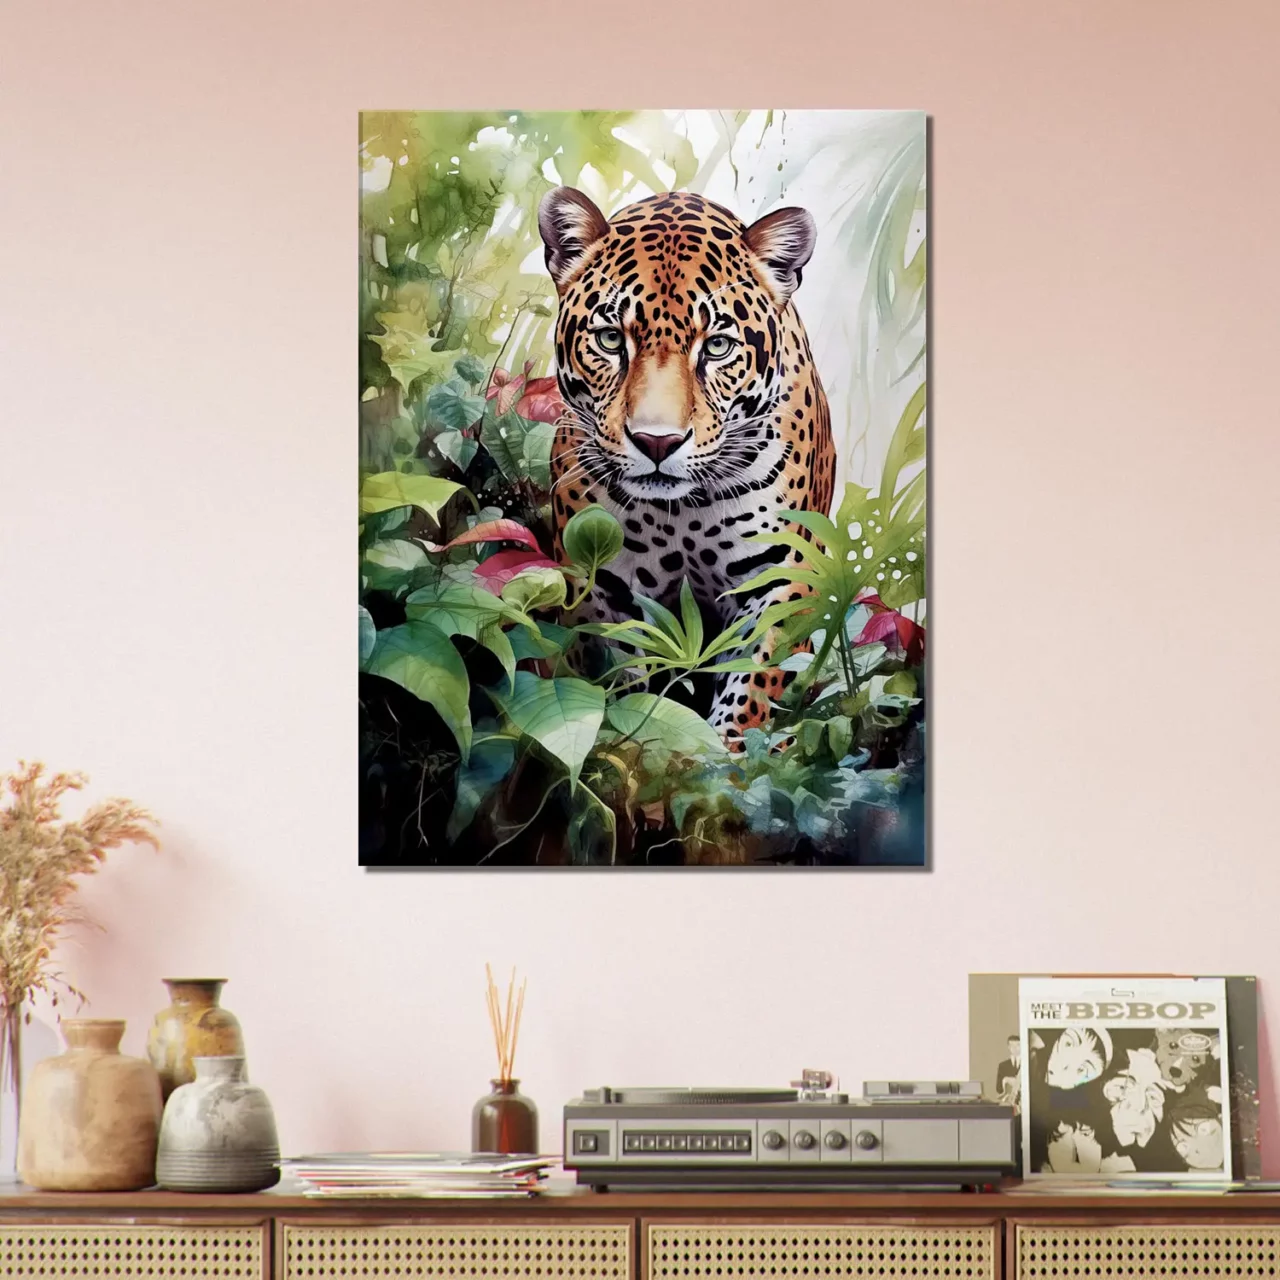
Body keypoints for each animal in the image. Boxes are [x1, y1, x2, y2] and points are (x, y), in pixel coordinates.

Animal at [538, 185, 836, 746]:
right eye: (611, 339)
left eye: (716, 346)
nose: (658, 442)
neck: (683, 513)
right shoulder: (601, 580)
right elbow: (624, 670)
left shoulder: (783, 574)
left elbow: (753, 682)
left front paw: (724, 752)